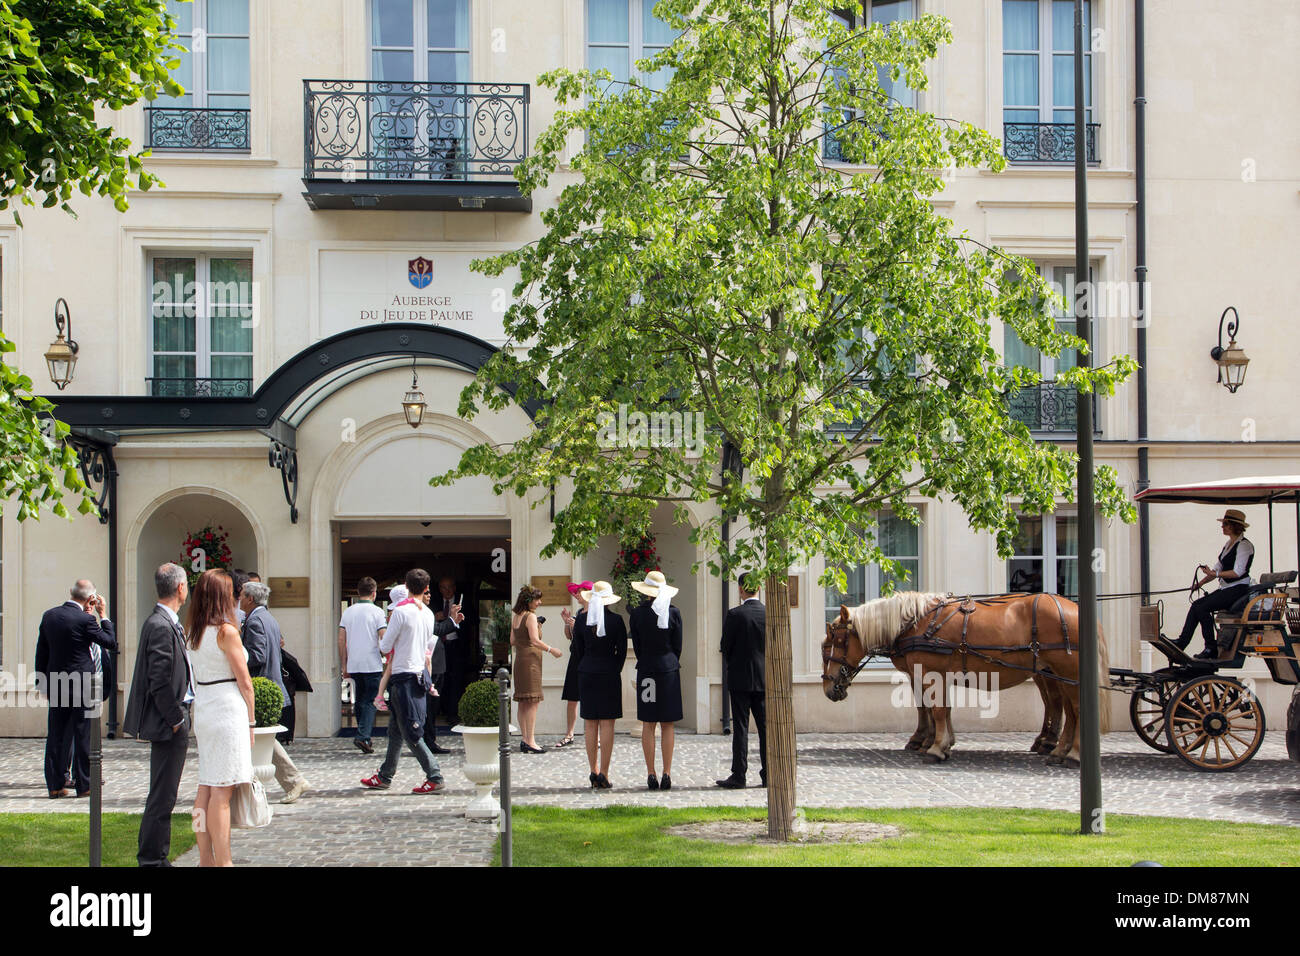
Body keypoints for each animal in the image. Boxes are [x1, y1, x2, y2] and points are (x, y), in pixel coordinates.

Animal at [821, 595, 1107, 764]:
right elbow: (940, 709)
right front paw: (941, 743)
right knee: (1065, 709)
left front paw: (934, 747)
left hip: (1066, 674)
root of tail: (1076, 609)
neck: (915, 622)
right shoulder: (935, 675)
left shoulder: (929, 672)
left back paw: (1073, 753)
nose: (828, 688)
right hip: (1055, 674)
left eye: (835, 642)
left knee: (1075, 709)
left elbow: (934, 710)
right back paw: (1058, 749)